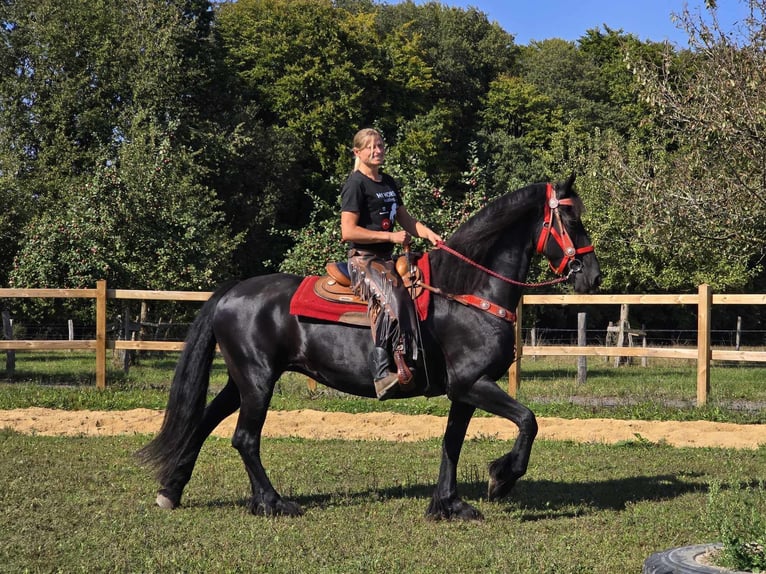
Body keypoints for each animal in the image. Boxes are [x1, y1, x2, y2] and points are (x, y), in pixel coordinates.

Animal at [141, 176, 604, 520]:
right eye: (568, 216)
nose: (592, 276)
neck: (466, 291)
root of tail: (232, 291)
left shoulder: (466, 389)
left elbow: (452, 442)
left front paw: (449, 504)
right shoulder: (474, 383)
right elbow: (529, 420)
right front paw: (501, 478)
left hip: (242, 380)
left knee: (205, 423)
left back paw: (171, 490)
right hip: (257, 380)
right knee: (245, 438)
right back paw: (272, 502)